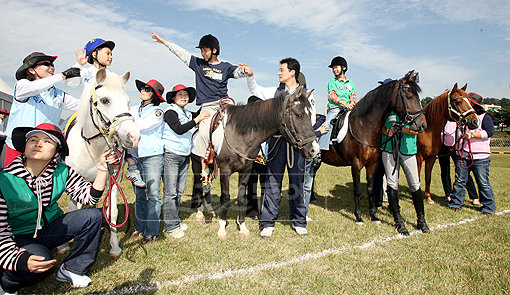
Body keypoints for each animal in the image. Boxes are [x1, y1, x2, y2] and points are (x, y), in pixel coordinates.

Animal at [64, 68, 139, 258]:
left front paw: (115, 247)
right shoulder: (72, 181)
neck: (92, 149)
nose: (134, 137)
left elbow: (112, 212)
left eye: (128, 101)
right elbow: (71, 212)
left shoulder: (112, 182)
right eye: (105, 100)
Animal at [215, 86, 318, 239]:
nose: (314, 149)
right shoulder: (225, 171)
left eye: (311, 115)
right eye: (299, 115)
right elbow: (225, 198)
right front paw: (222, 229)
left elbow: (241, 197)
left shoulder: (246, 171)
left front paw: (243, 227)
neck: (238, 134)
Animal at [322, 72, 426, 224]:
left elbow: (370, 189)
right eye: (409, 96)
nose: (423, 124)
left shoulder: (372, 164)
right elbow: (358, 190)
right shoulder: (356, 164)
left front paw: (374, 215)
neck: (364, 127)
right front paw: (358, 217)